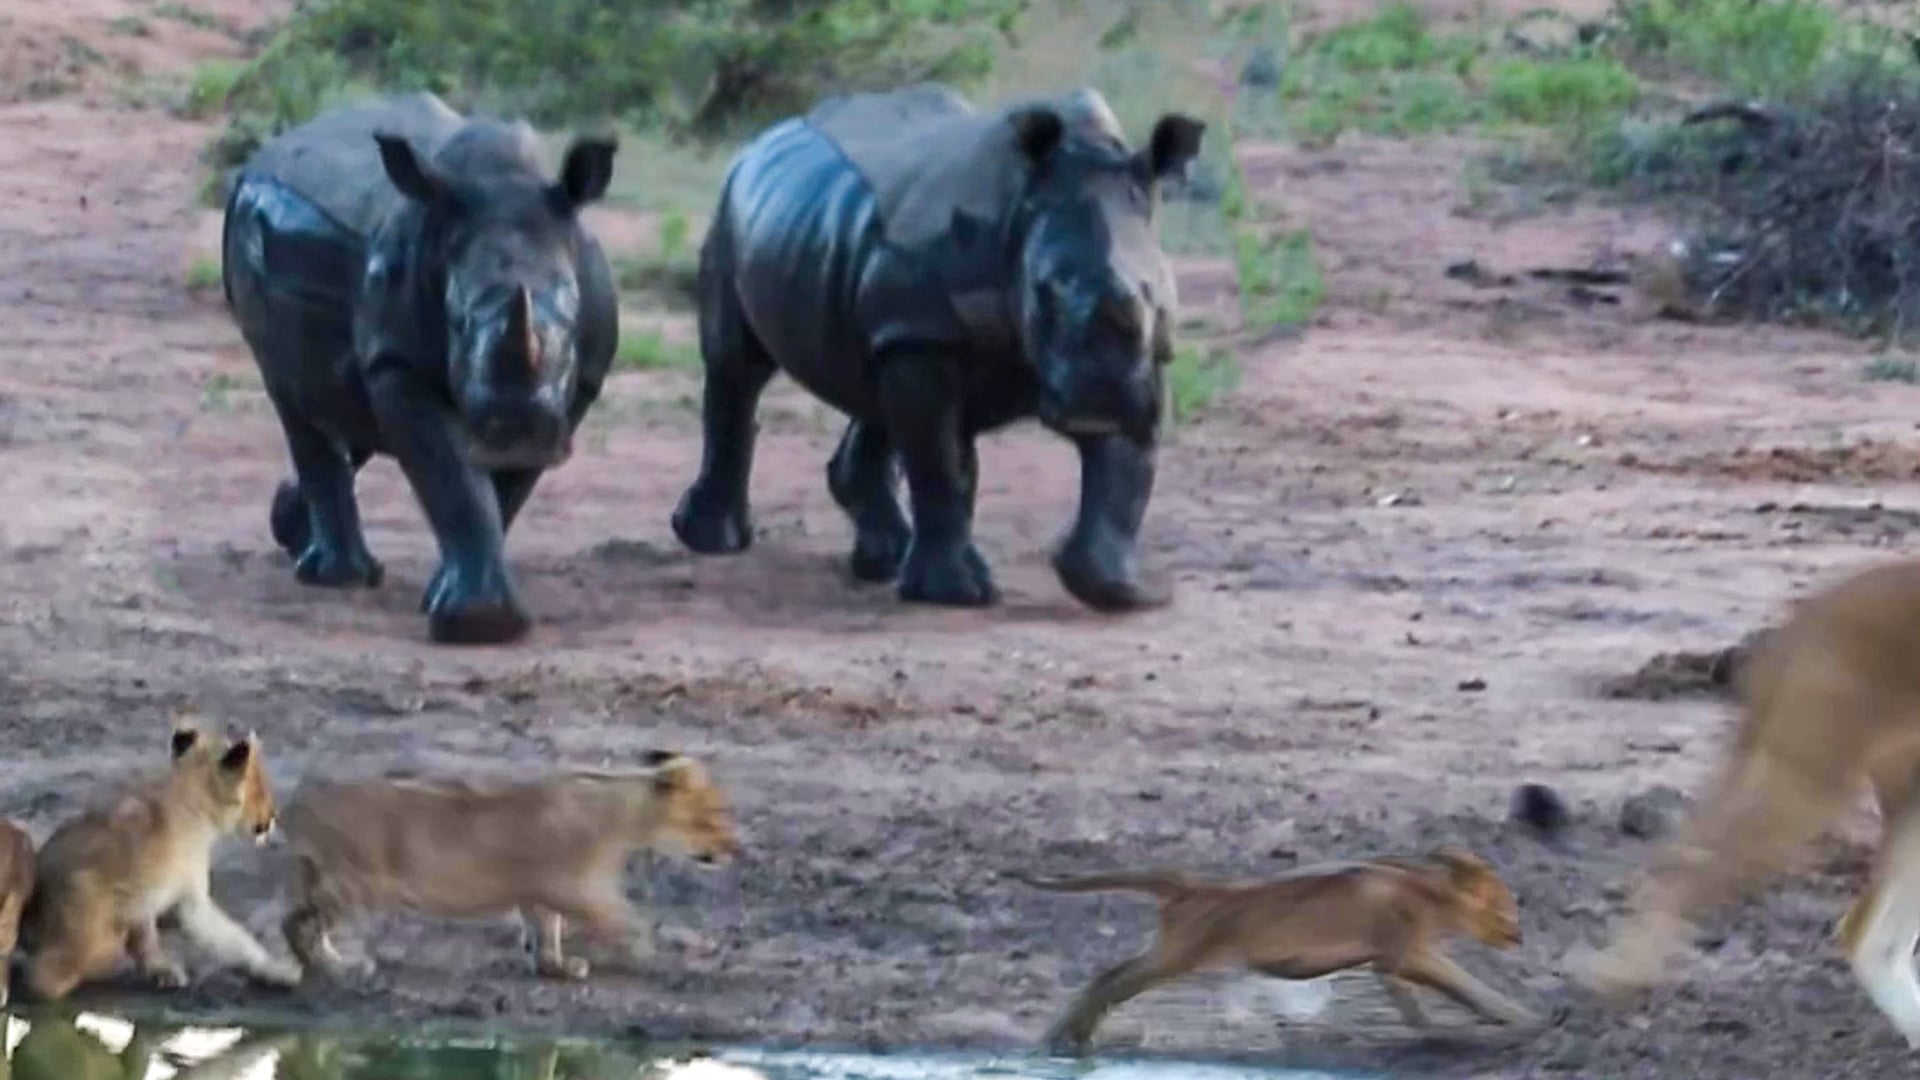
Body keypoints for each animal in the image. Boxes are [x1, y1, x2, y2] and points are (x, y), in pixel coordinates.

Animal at [20, 714, 300, 1001]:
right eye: (261, 790)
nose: (274, 816)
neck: (191, 799)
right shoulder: (115, 888)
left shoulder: (190, 903)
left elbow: (237, 940)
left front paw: (274, 969)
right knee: (52, 974)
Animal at [221, 93, 619, 644]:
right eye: (458, 320)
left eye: (573, 314)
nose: (517, 426)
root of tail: (261, 158)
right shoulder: (398, 363)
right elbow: (452, 476)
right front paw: (478, 622)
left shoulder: (579, 387)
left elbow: (504, 492)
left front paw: (455, 602)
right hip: (252, 233)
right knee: (293, 399)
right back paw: (336, 577)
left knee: (340, 408)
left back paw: (294, 529)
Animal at [278, 749, 741, 981]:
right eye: (708, 818)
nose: (733, 848)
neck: (623, 819)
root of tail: (300, 804)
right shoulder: (573, 888)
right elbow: (625, 919)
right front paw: (650, 950)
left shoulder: (540, 891)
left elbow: (548, 929)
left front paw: (555, 966)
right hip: (356, 884)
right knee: (298, 924)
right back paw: (338, 967)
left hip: (327, 879)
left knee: (297, 920)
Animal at [674, 84, 1205, 610]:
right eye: (1043, 291)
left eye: (1157, 294)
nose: (1096, 403)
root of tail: (761, 141)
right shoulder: (925, 333)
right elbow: (942, 459)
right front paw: (957, 594)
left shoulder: (1143, 362)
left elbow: (1123, 473)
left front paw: (1122, 591)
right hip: (732, 213)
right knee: (737, 367)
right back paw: (714, 541)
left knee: (871, 384)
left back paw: (883, 561)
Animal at [1012, 845, 1538, 1055]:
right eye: (1505, 905)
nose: (1520, 932)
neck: (1431, 896)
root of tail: (1197, 886)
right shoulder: (1404, 952)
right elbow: (1466, 983)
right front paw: (1515, 1016)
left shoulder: (1389, 962)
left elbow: (1414, 999)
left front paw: (1427, 1028)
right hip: (1181, 953)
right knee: (1109, 981)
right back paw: (1066, 1039)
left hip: (1171, 949)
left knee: (1107, 978)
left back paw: (1071, 1037)